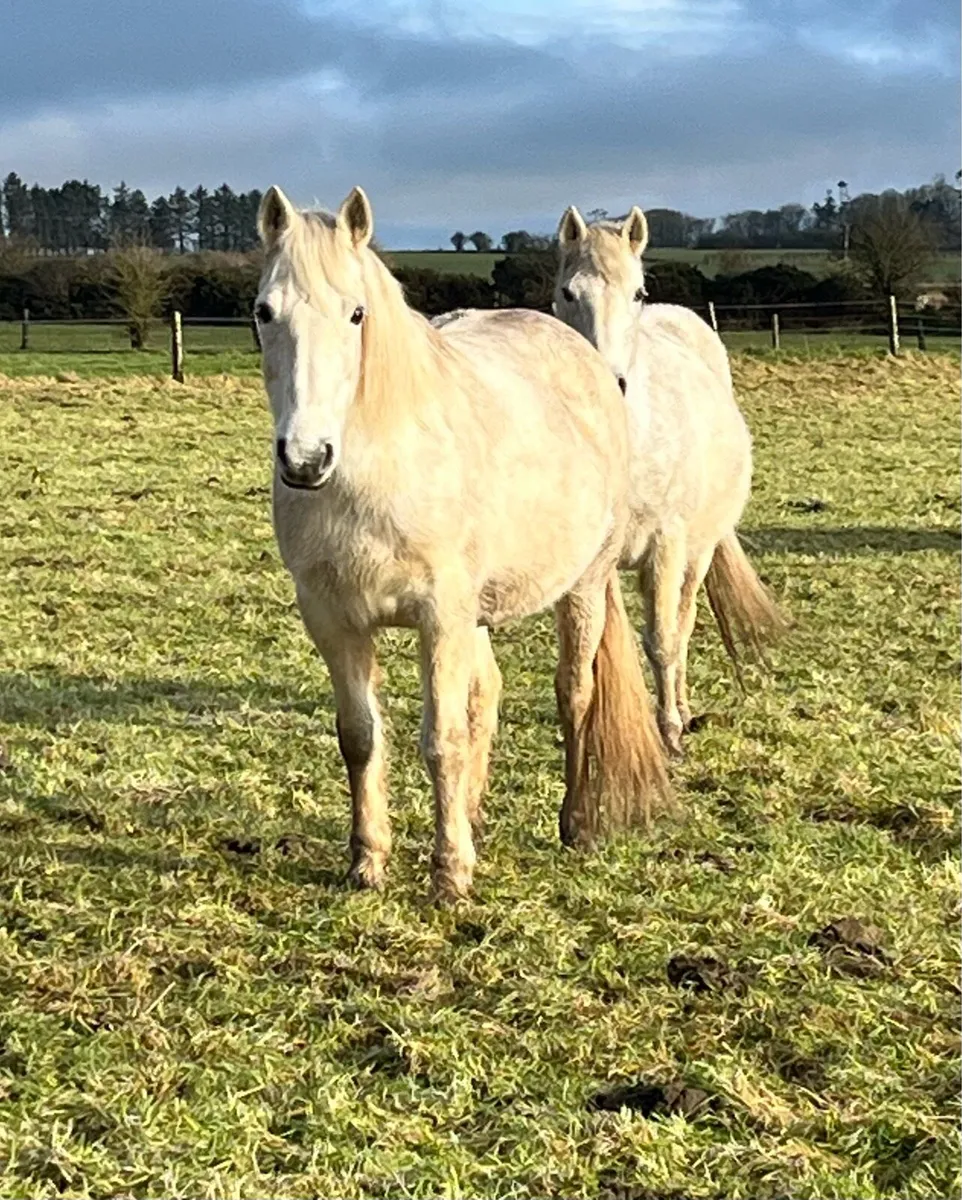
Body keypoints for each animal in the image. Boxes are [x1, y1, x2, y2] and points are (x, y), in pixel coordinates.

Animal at [255, 185, 671, 901]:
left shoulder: (440, 618)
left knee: (575, 692)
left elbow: (442, 738)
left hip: (582, 587)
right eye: (263, 311)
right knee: (488, 694)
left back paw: (575, 823)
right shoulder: (334, 620)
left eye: (356, 313)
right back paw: (474, 814)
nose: (306, 459)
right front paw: (368, 861)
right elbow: (360, 737)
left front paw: (449, 873)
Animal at [554, 205, 786, 757]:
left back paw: (680, 709)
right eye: (568, 293)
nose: (607, 383)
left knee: (682, 625)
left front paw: (669, 730)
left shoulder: (665, 547)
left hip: (696, 554)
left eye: (637, 292)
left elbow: (662, 640)